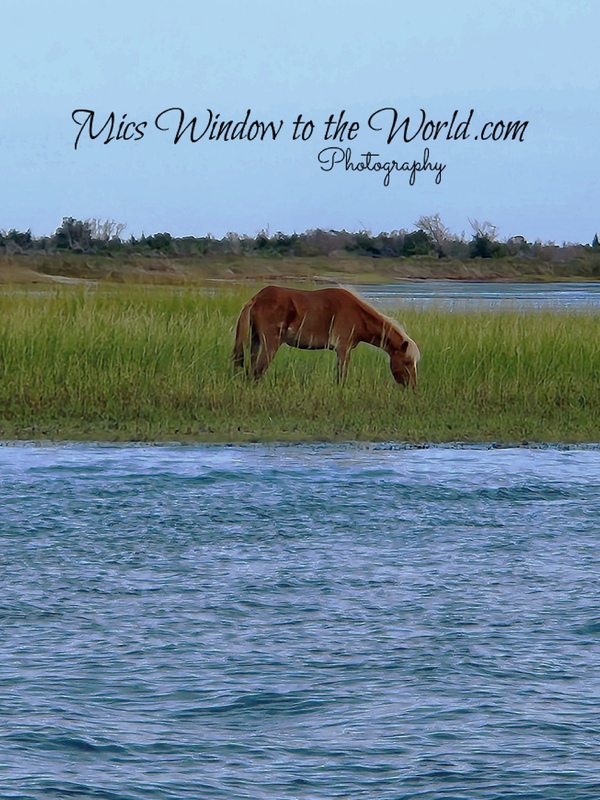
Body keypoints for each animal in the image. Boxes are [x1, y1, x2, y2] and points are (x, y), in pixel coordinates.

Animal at [232, 285, 420, 386]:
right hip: (270, 344)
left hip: (256, 341)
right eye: (407, 362)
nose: (412, 386)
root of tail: (256, 299)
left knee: (251, 370)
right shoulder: (343, 349)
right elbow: (341, 377)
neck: (357, 313)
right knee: (258, 370)